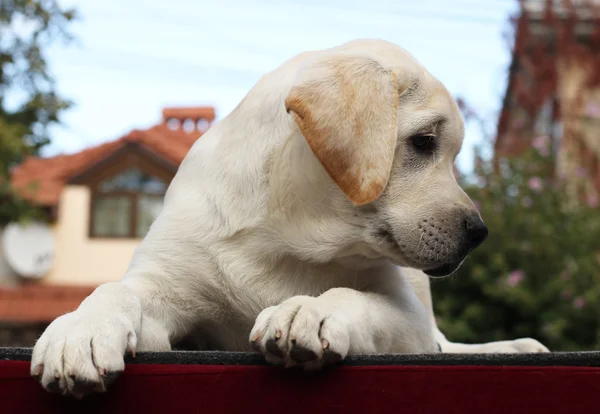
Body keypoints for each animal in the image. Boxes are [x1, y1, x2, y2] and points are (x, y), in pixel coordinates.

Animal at [31, 39, 548, 398]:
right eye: (423, 142)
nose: (478, 233)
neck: (288, 235)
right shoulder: (171, 304)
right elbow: (114, 290)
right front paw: (82, 328)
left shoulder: (409, 321)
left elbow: (348, 295)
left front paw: (310, 310)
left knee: (446, 346)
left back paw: (517, 347)